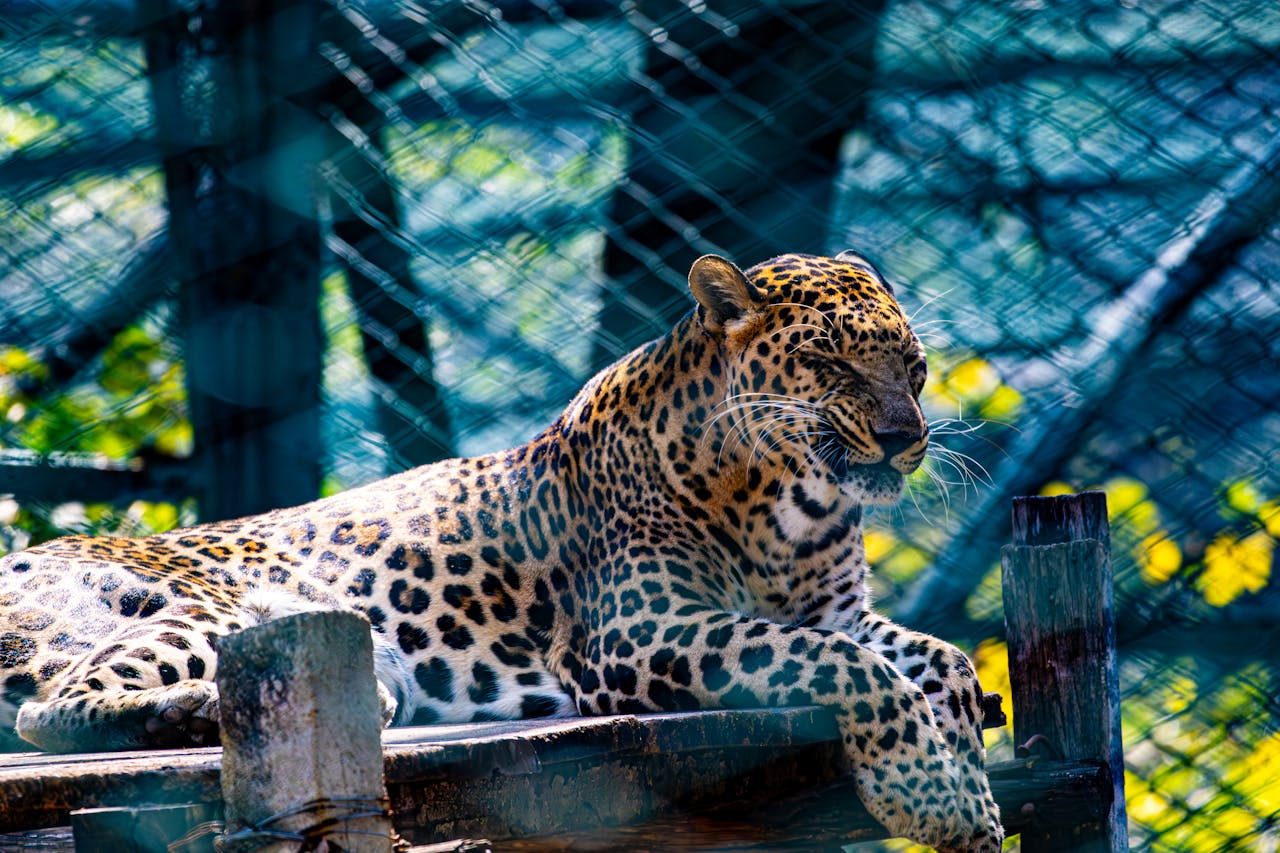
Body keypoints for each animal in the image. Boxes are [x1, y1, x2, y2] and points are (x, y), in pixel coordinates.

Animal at [0, 252, 1002, 852]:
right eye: (831, 365)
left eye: (914, 368)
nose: (905, 439)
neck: (793, 503)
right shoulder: (639, 632)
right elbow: (839, 664)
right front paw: (928, 796)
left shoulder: (842, 610)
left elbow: (942, 662)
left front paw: (970, 795)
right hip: (207, 609)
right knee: (53, 704)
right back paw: (194, 709)